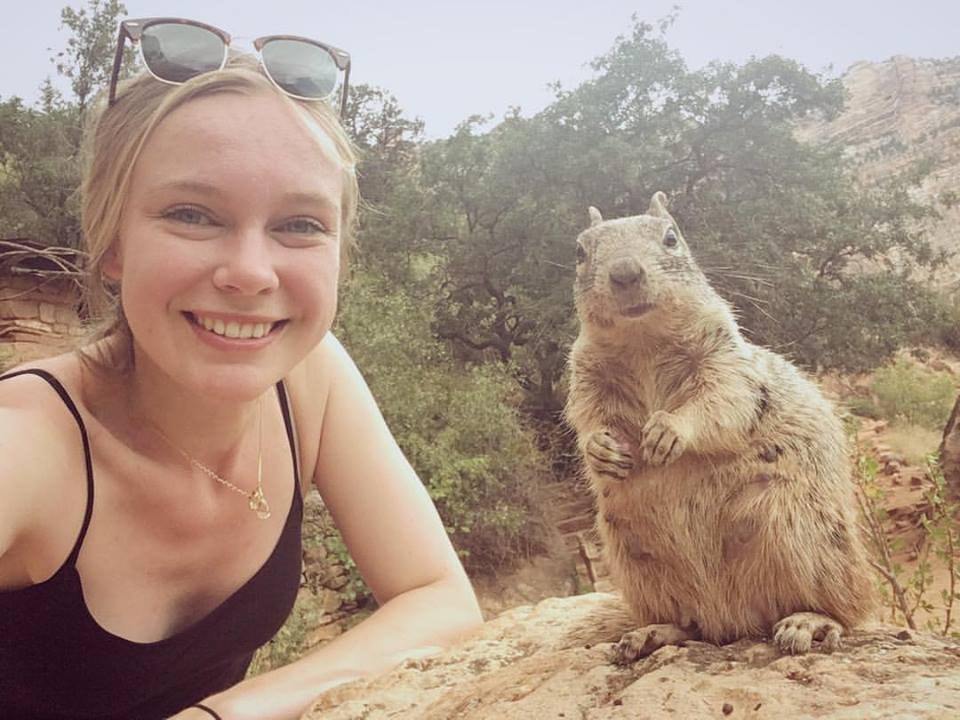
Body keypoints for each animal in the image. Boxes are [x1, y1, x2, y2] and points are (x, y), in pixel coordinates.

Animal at [568, 193, 872, 664]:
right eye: (580, 251)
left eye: (671, 237)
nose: (625, 272)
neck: (642, 343)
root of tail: (730, 621)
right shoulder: (584, 379)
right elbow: (586, 418)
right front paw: (600, 449)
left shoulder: (728, 365)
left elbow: (721, 401)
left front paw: (669, 430)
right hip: (636, 560)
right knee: (689, 623)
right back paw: (653, 633)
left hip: (805, 538)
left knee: (846, 609)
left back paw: (809, 622)